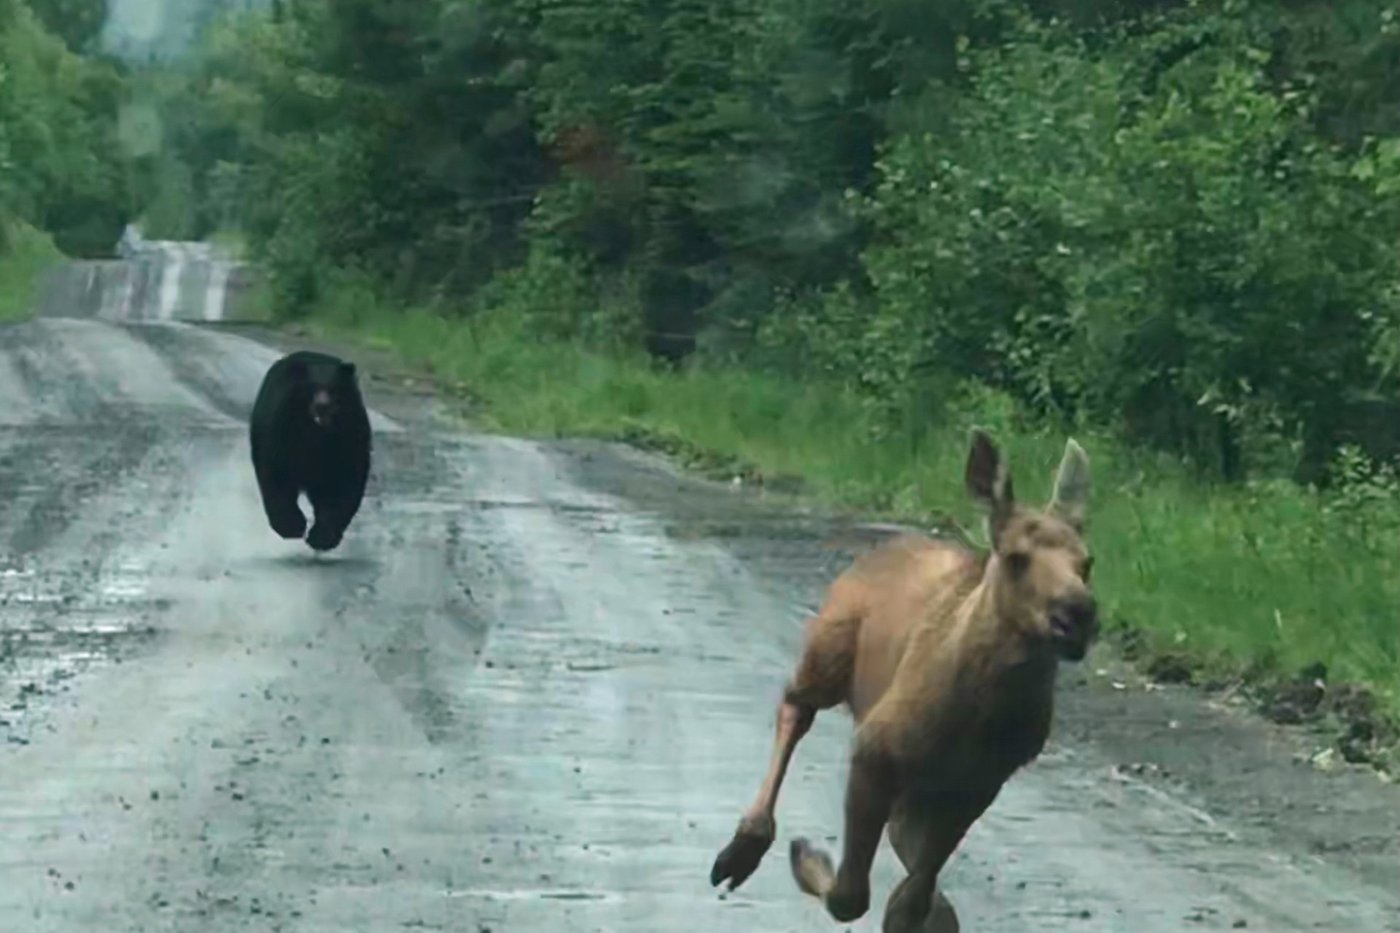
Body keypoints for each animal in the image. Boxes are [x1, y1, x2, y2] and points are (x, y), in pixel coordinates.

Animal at [249, 350, 372, 552]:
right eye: (311, 388)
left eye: (333, 388)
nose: (322, 405)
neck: (317, 434)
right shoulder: (281, 432)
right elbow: (277, 474)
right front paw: (290, 526)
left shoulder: (349, 438)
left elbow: (343, 484)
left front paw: (322, 537)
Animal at [709, 429, 1098, 932]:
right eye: (1016, 557)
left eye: (1088, 562)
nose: (1078, 614)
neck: (982, 714)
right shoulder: (875, 749)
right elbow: (852, 896)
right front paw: (809, 857)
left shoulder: (978, 783)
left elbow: (913, 895)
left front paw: (924, 911)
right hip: (828, 650)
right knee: (796, 705)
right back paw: (746, 847)